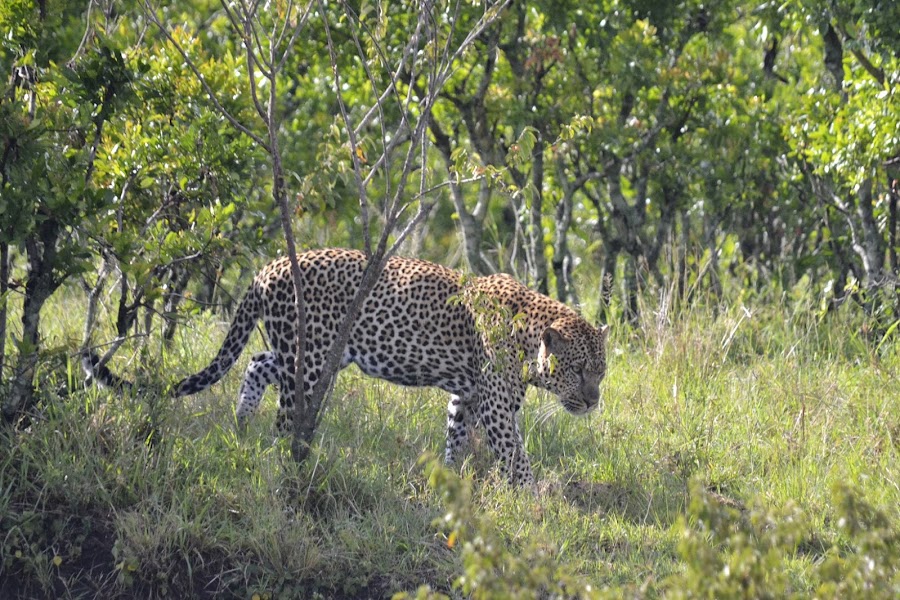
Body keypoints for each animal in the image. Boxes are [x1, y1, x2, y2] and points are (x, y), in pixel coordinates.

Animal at [84, 246, 608, 486]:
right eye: (578, 371)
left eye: (600, 373)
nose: (593, 401)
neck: (530, 335)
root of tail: (268, 267)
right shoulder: (497, 404)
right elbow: (515, 455)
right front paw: (534, 496)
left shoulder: (469, 394)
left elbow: (457, 437)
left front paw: (447, 479)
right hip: (311, 357)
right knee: (287, 415)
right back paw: (282, 457)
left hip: (311, 354)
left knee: (257, 363)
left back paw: (241, 424)